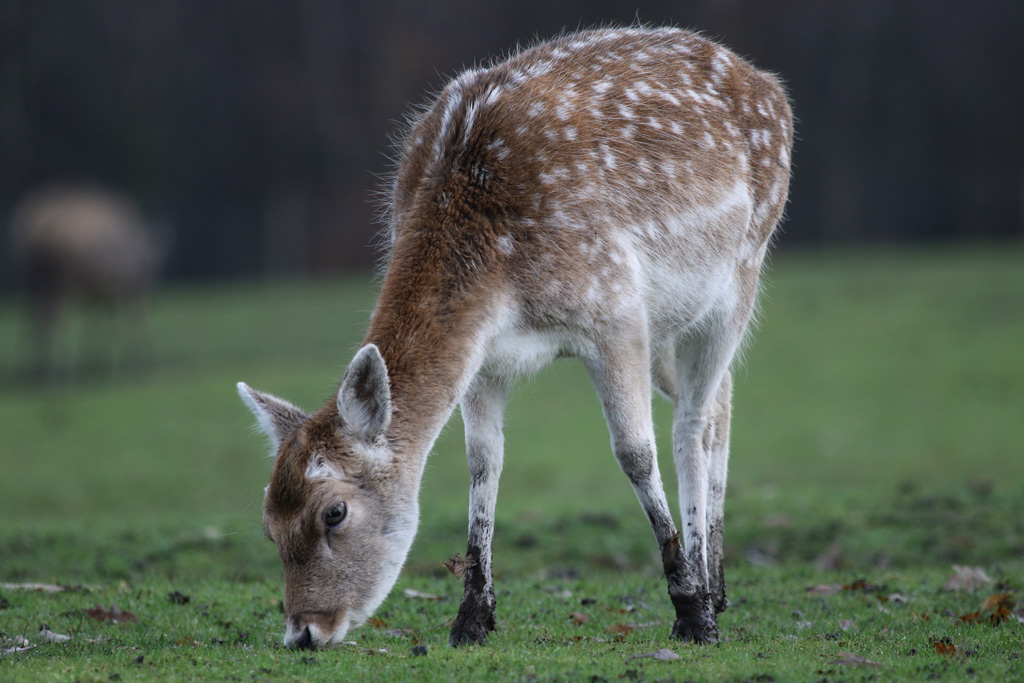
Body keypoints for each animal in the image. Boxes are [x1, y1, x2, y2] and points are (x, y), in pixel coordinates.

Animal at [238, 26, 792, 650]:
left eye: (334, 512)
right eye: (268, 523)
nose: (304, 632)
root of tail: (769, 84)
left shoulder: (617, 310)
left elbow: (633, 452)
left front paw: (690, 611)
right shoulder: (485, 356)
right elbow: (484, 461)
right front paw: (471, 618)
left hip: (742, 269)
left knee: (694, 419)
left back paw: (706, 592)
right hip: (674, 324)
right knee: (721, 399)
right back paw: (718, 586)